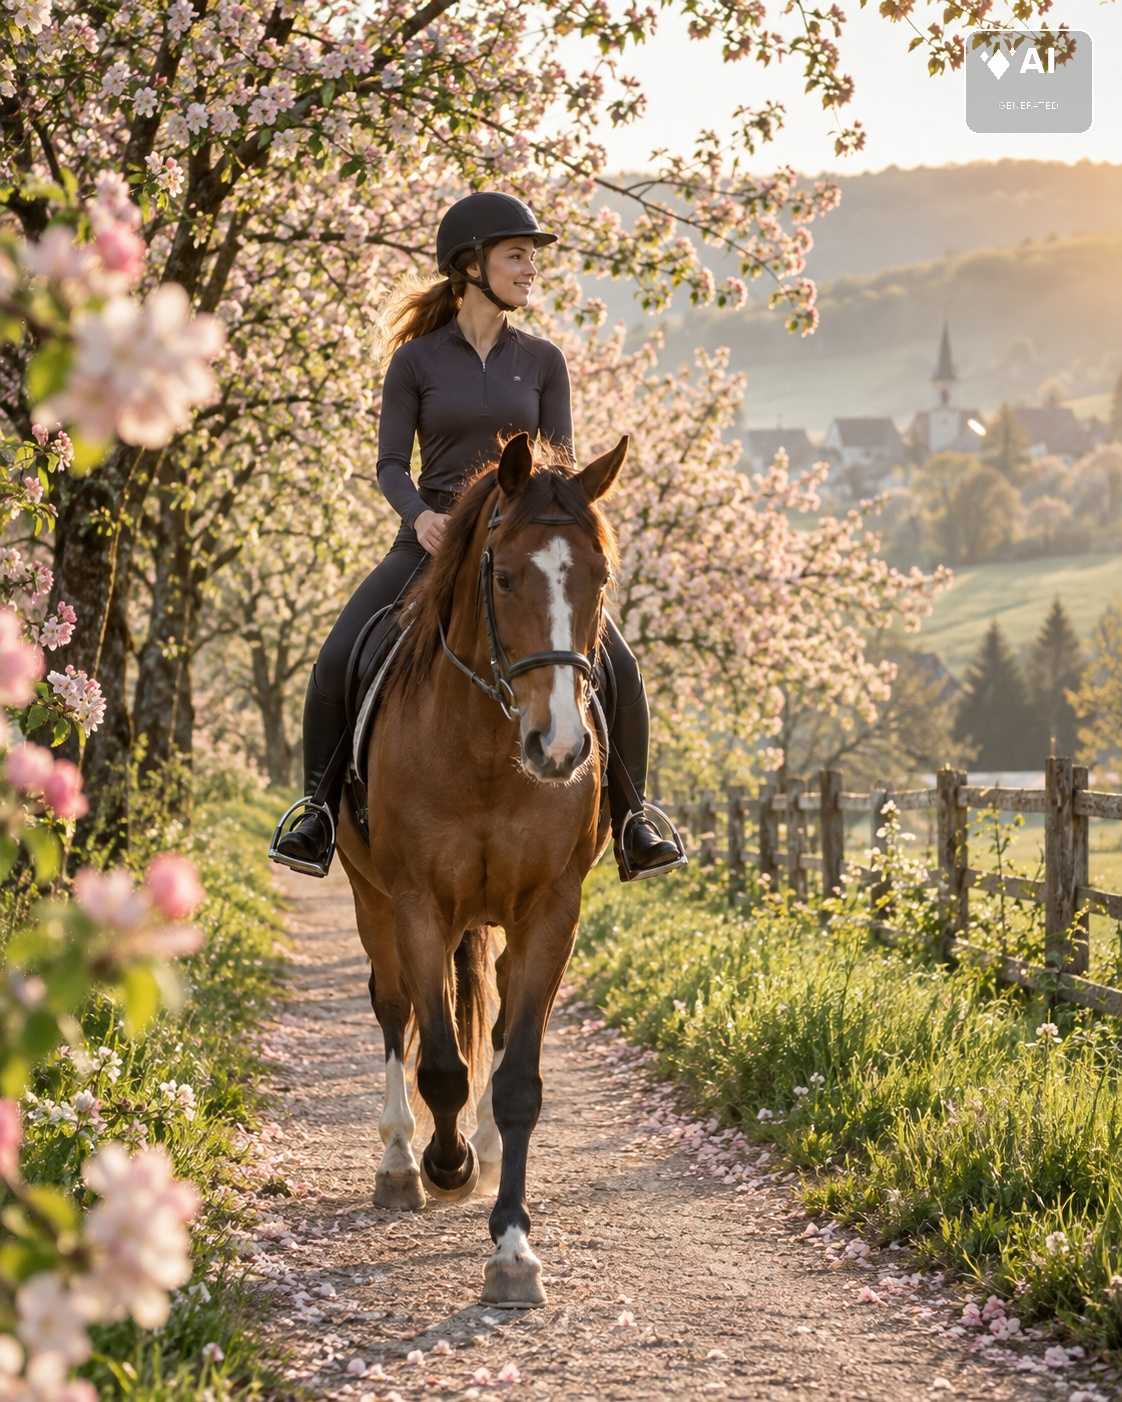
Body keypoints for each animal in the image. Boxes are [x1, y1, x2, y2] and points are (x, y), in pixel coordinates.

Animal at [335, 428, 624, 1308]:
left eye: (601, 578)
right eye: (502, 576)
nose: (559, 748)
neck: (492, 754)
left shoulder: (552, 910)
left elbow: (518, 1073)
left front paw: (513, 1249)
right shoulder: (417, 904)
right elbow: (438, 1063)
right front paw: (444, 1161)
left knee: (488, 1021)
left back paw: (485, 1149)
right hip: (371, 899)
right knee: (395, 1010)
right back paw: (403, 1162)